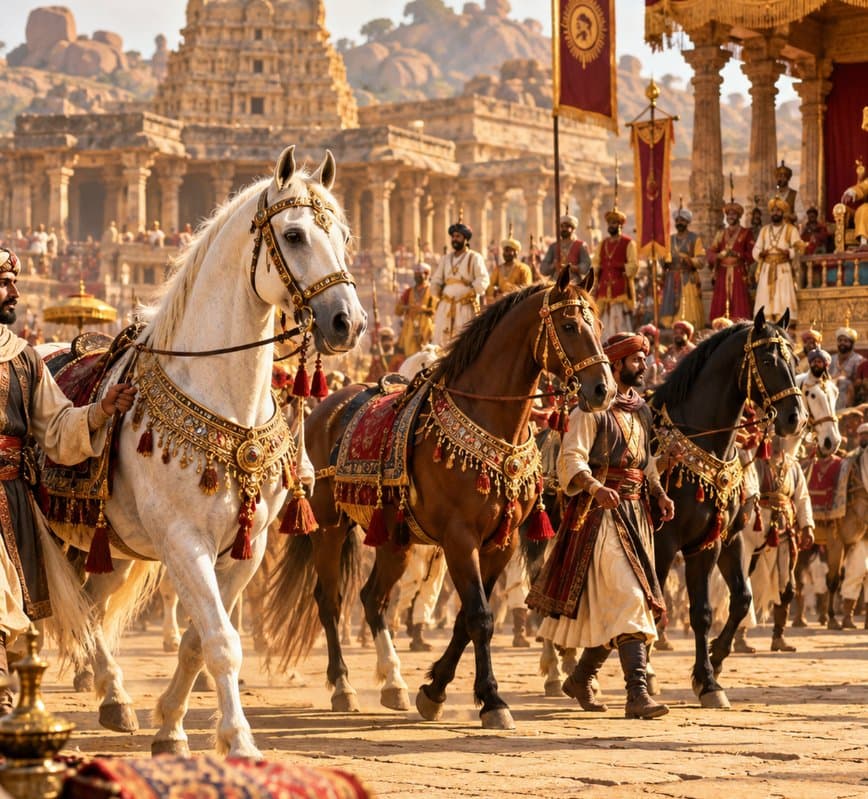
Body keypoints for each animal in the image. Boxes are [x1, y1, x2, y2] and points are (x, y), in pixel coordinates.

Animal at [42, 145, 366, 758]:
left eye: (344, 236)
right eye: (293, 235)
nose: (348, 322)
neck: (223, 394)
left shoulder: (247, 547)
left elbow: (200, 639)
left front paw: (170, 727)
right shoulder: (182, 539)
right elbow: (221, 640)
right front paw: (238, 741)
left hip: (111, 543)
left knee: (92, 604)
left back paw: (114, 697)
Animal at [264, 272, 616, 729]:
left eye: (600, 325)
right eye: (571, 326)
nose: (604, 390)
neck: (490, 422)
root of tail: (323, 411)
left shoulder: (501, 542)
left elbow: (467, 619)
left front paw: (434, 690)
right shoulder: (459, 538)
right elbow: (480, 616)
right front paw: (492, 700)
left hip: (392, 537)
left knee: (372, 599)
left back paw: (393, 682)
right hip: (329, 527)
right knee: (330, 601)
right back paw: (343, 685)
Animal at [648, 309, 806, 708]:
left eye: (795, 361)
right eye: (768, 361)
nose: (795, 419)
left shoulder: (720, 540)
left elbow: (731, 603)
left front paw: (711, 671)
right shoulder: (664, 542)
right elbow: (660, 604)